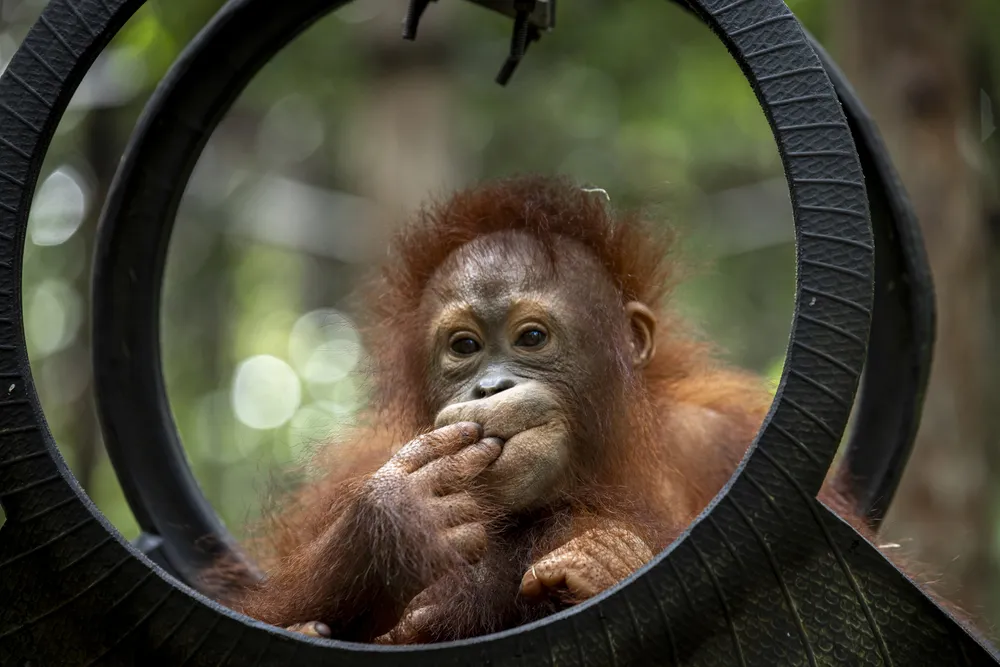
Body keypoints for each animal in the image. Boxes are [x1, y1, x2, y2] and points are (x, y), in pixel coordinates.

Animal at [201, 174, 969, 645]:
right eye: (464, 347)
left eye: (532, 338)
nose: (488, 389)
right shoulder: (346, 474)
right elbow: (258, 607)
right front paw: (397, 520)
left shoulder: (727, 440)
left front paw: (604, 558)